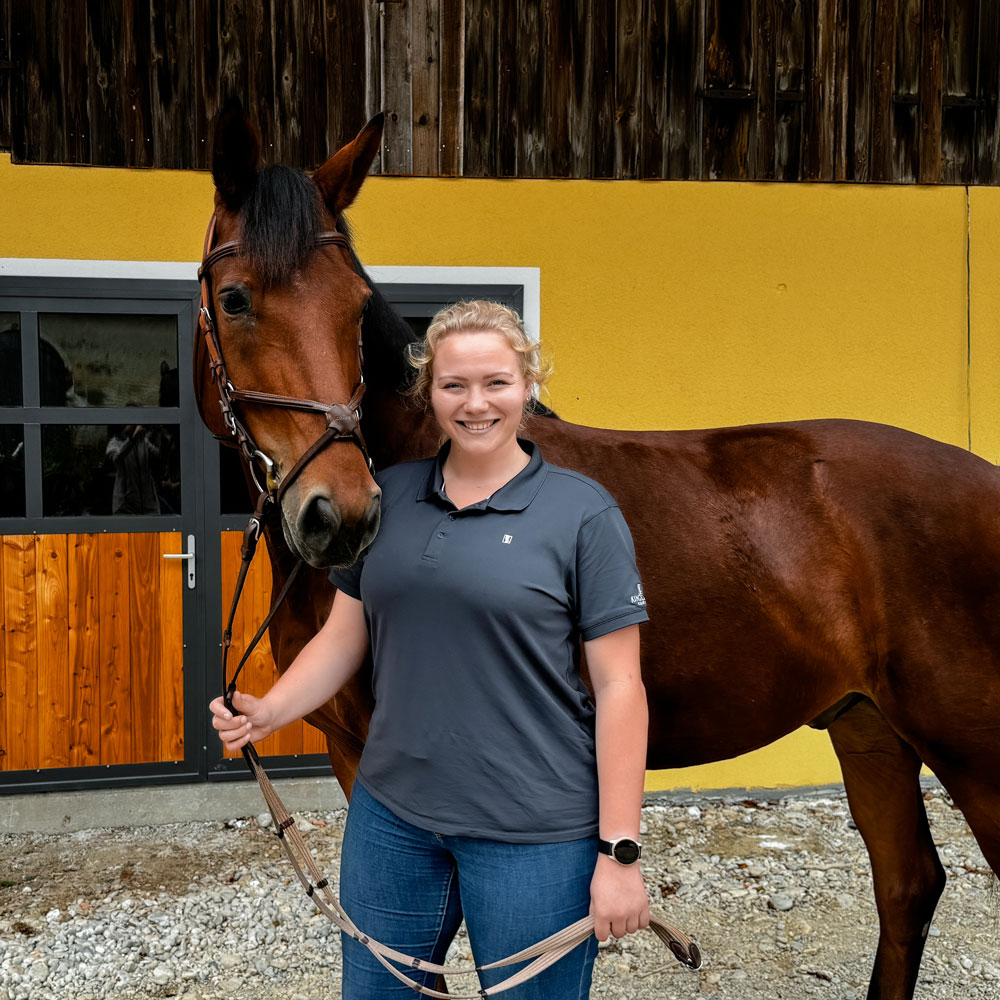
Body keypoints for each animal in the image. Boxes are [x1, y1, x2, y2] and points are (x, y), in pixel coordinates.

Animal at [195, 101, 1000, 1000]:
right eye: (235, 299)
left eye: (354, 306)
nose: (342, 516)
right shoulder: (349, 755)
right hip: (869, 727)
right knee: (907, 883)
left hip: (975, 750)